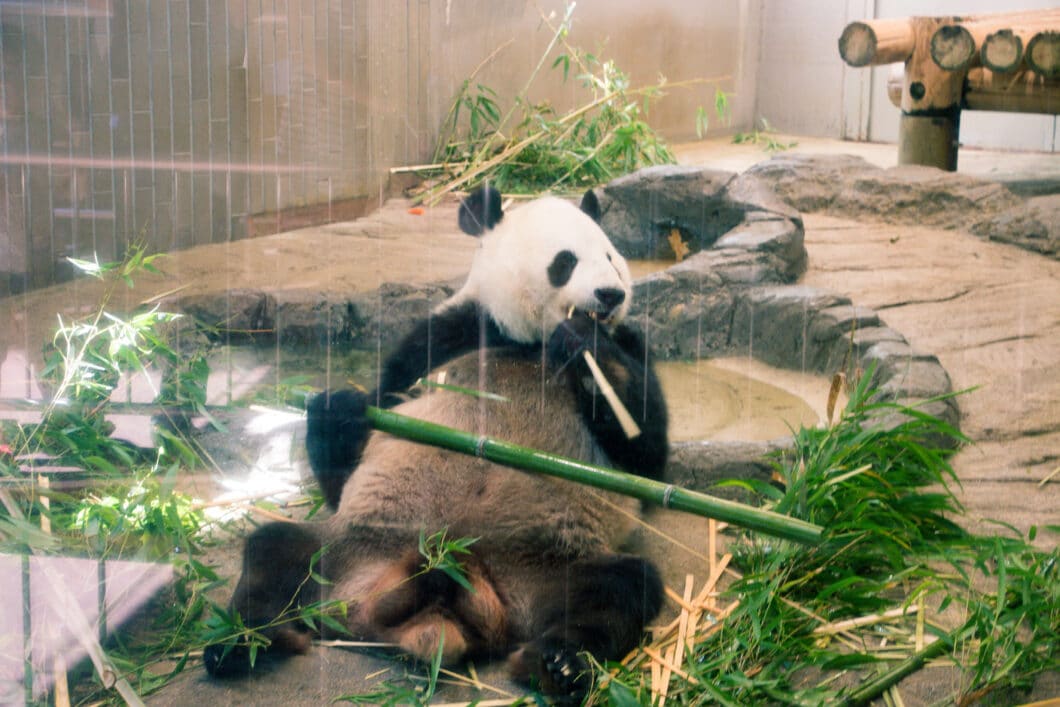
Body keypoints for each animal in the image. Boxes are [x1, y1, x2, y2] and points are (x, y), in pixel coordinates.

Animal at [204, 186, 669, 703]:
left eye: (610, 257)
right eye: (565, 261)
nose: (611, 294)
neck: (531, 341)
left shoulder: (629, 344)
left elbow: (646, 456)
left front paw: (586, 344)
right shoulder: (448, 333)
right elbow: (357, 448)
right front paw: (338, 407)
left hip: (552, 566)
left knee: (623, 589)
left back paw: (557, 665)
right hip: (351, 547)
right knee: (274, 553)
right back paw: (241, 643)